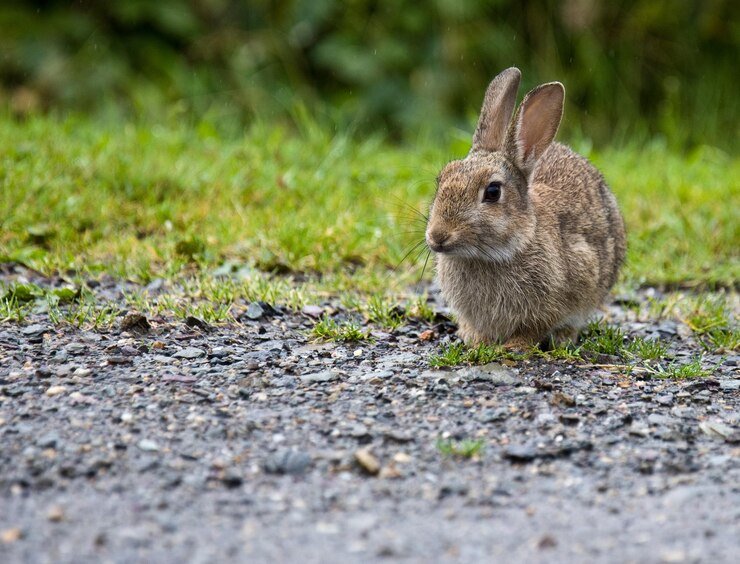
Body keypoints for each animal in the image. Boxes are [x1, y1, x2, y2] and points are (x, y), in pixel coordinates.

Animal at [428, 67, 624, 348]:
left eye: (493, 192)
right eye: (441, 179)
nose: (437, 236)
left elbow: (535, 328)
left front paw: (515, 346)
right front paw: (476, 340)